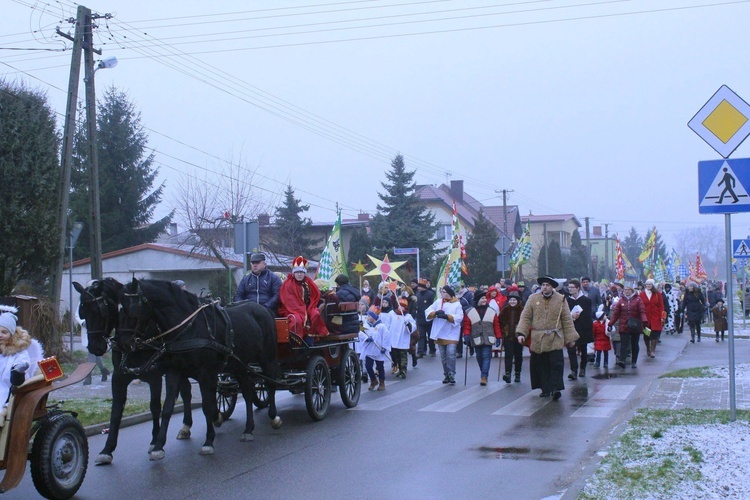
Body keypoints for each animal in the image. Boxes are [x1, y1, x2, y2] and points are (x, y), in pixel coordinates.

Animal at [74, 280, 194, 466]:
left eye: (100, 311)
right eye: (83, 311)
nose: (94, 347)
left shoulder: (155, 375)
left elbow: (155, 406)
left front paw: (154, 442)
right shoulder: (119, 377)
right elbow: (116, 411)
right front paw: (107, 450)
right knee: (186, 391)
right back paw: (186, 426)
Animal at [117, 280, 282, 458]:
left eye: (132, 309)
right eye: (119, 308)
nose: (123, 344)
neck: (188, 329)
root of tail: (263, 309)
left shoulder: (206, 375)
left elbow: (207, 407)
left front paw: (208, 441)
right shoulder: (175, 372)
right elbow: (167, 408)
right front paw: (158, 446)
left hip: (267, 359)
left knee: (271, 385)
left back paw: (274, 417)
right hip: (240, 365)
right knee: (248, 391)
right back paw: (248, 429)